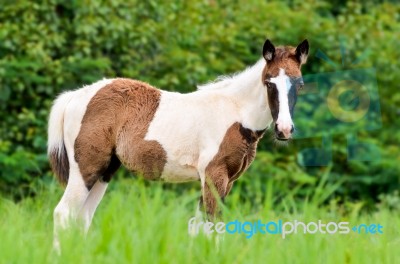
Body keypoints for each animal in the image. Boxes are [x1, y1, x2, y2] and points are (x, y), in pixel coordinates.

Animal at [48, 38, 308, 246]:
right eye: (269, 82)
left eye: (300, 84)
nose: (284, 129)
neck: (236, 113)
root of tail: (75, 96)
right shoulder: (213, 174)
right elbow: (213, 226)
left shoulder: (225, 180)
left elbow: (197, 226)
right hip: (85, 168)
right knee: (63, 213)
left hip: (105, 171)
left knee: (82, 218)